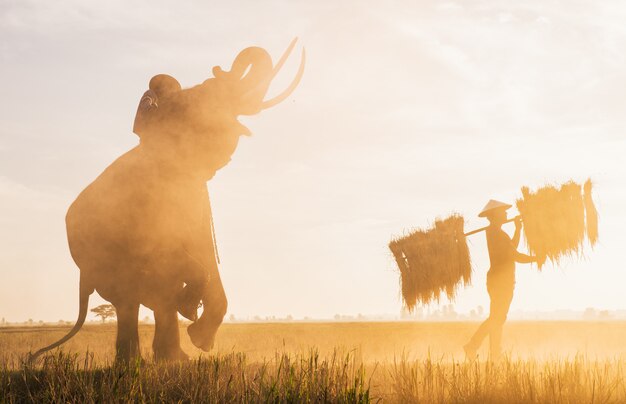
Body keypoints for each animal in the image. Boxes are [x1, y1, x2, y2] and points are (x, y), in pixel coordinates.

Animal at [31, 38, 304, 362]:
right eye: (208, 90)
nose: (218, 67)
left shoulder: (196, 200)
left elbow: (206, 255)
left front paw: (200, 336)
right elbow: (182, 258)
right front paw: (190, 311)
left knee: (146, 294)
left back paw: (172, 359)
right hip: (95, 256)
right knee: (132, 296)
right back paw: (141, 360)